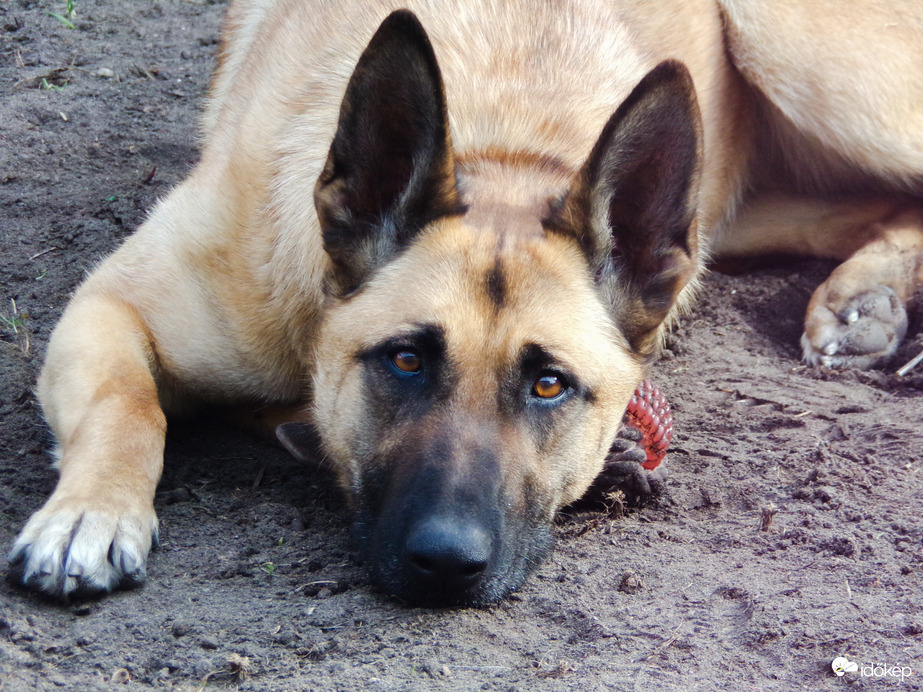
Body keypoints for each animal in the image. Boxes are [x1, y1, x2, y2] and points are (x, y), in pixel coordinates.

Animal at [9, 0, 923, 604]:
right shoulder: (109, 305)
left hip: (805, 64)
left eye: (550, 385)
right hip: (729, 207)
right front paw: (90, 512)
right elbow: (127, 405)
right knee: (874, 205)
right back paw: (865, 299)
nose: (445, 564)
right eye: (405, 360)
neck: (505, 146)